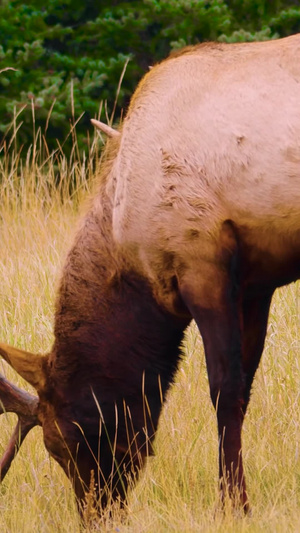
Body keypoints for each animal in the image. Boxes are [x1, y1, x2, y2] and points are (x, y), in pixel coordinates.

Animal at [0, 32, 300, 512]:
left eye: (63, 442)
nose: (98, 514)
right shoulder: (255, 284)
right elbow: (246, 388)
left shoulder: (200, 262)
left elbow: (225, 391)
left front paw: (233, 503)